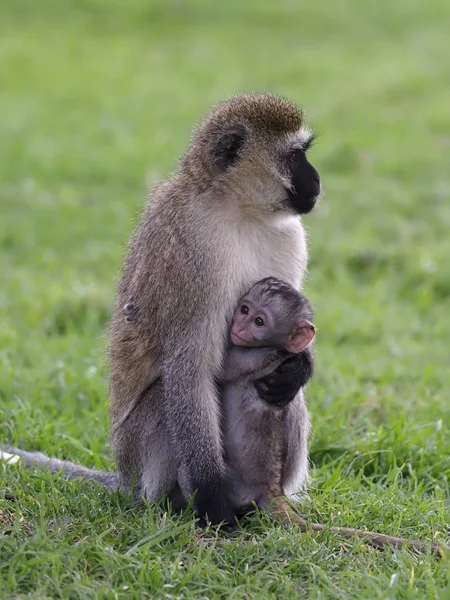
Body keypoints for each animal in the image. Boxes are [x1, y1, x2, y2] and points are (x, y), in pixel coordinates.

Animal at [109, 94, 320, 524]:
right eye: (295, 156)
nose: (318, 181)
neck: (236, 208)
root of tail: (124, 479)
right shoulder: (192, 253)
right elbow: (190, 368)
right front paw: (212, 501)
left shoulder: (290, 236)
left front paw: (299, 366)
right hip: (138, 463)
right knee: (166, 398)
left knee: (285, 396)